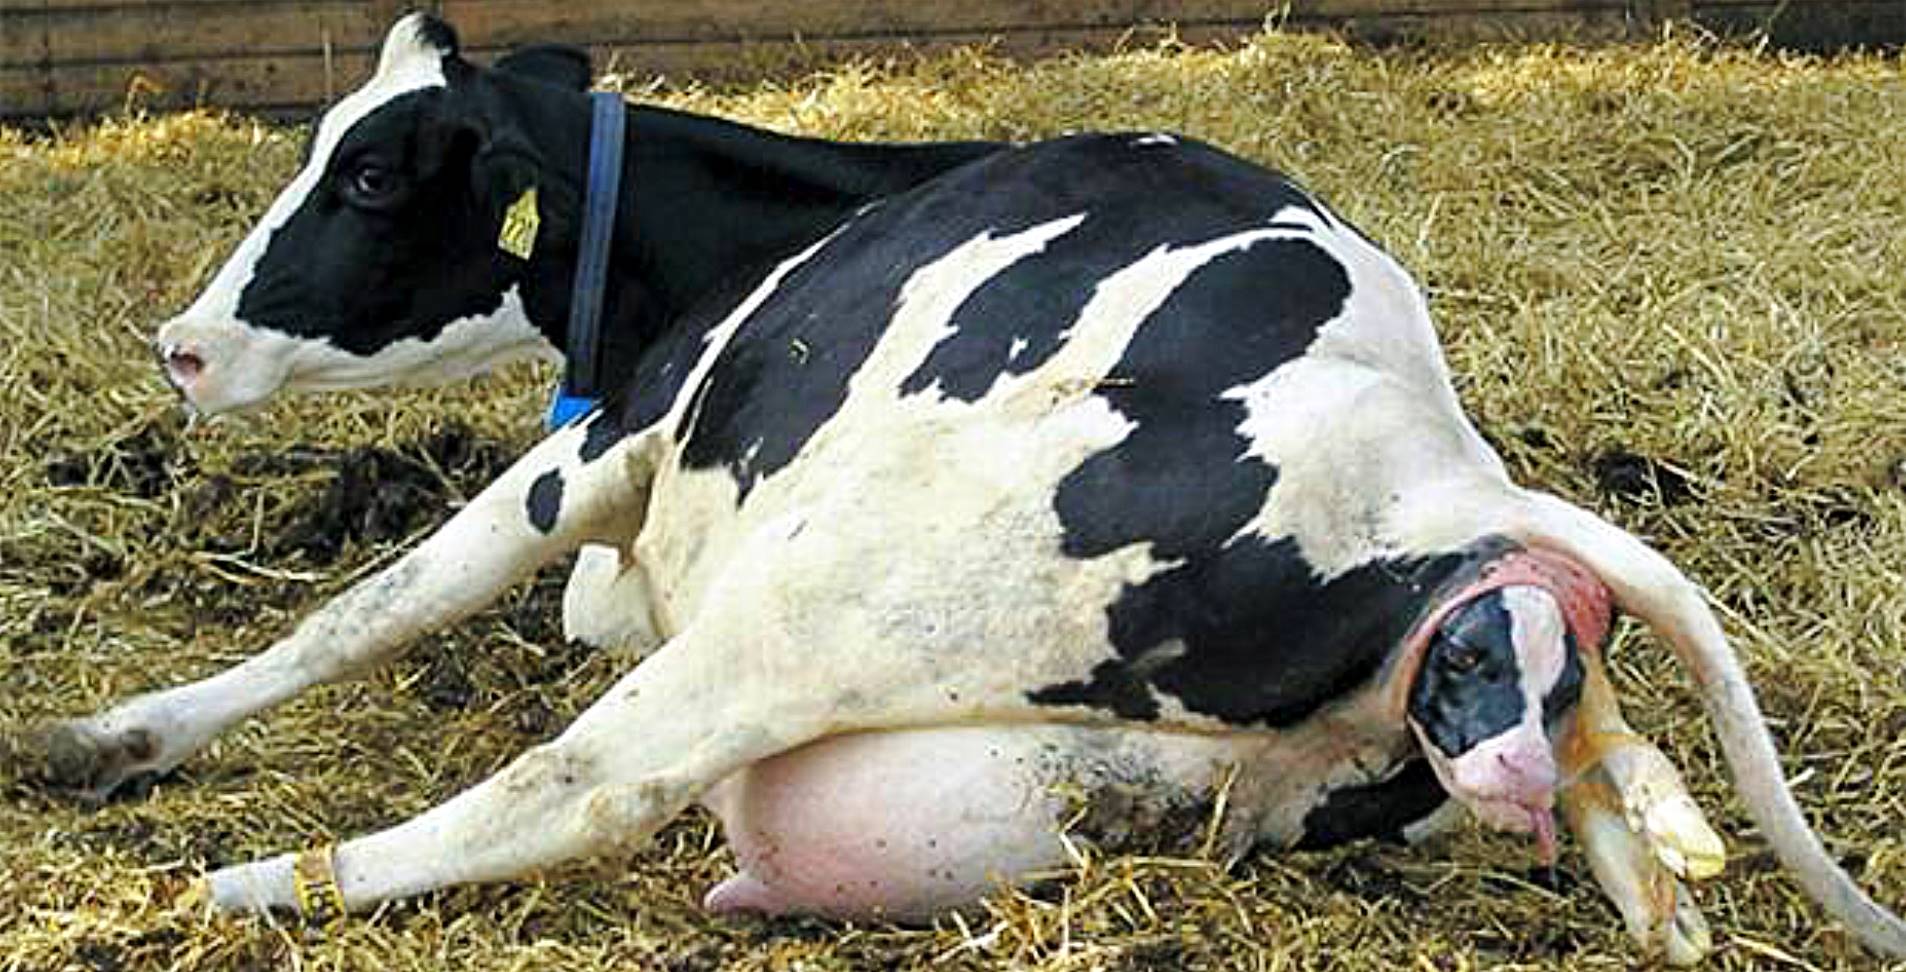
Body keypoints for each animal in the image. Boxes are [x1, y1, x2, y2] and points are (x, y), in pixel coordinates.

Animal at [31, 14, 1903, 964]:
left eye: (368, 173)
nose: (182, 346)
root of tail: (1435, 480)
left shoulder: (604, 447)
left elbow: (370, 607)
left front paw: (122, 735)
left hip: (816, 607)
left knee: (570, 786)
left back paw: (227, 889)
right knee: (1583, 761)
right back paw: (1653, 856)